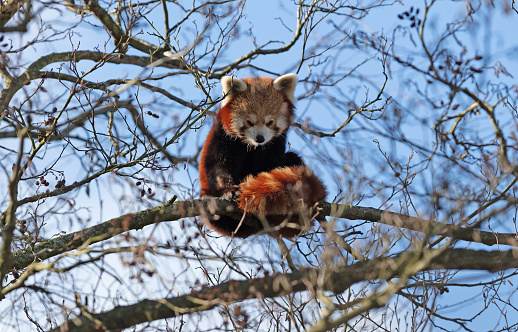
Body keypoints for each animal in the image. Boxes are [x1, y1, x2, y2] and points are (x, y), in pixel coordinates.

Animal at [200, 73, 330, 237]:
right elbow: (218, 166)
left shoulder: (275, 145)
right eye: (249, 122)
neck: (254, 147)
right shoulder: (224, 138)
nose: (260, 138)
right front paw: (228, 190)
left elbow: (271, 167)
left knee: (293, 158)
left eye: (270, 122)